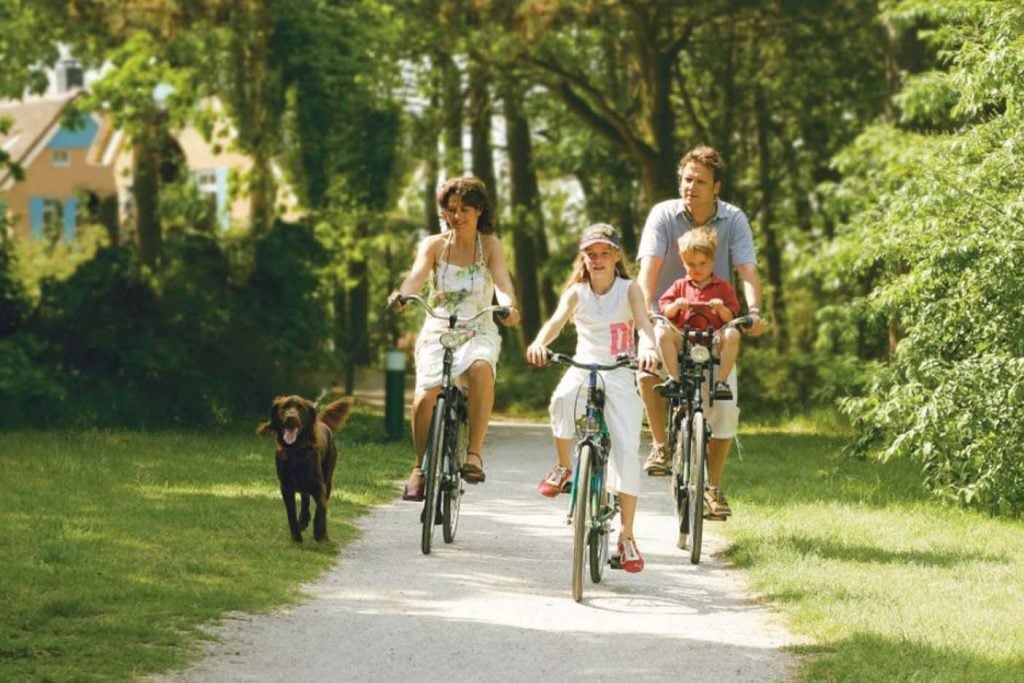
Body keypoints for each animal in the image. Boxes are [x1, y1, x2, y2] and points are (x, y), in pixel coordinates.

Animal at [258, 395, 354, 544]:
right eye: (284, 408)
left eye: (300, 408)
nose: (290, 417)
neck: (295, 451)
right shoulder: (286, 486)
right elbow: (291, 513)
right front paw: (296, 536)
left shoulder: (319, 484)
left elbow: (321, 508)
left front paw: (320, 532)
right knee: (305, 498)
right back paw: (303, 520)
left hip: (328, 477)